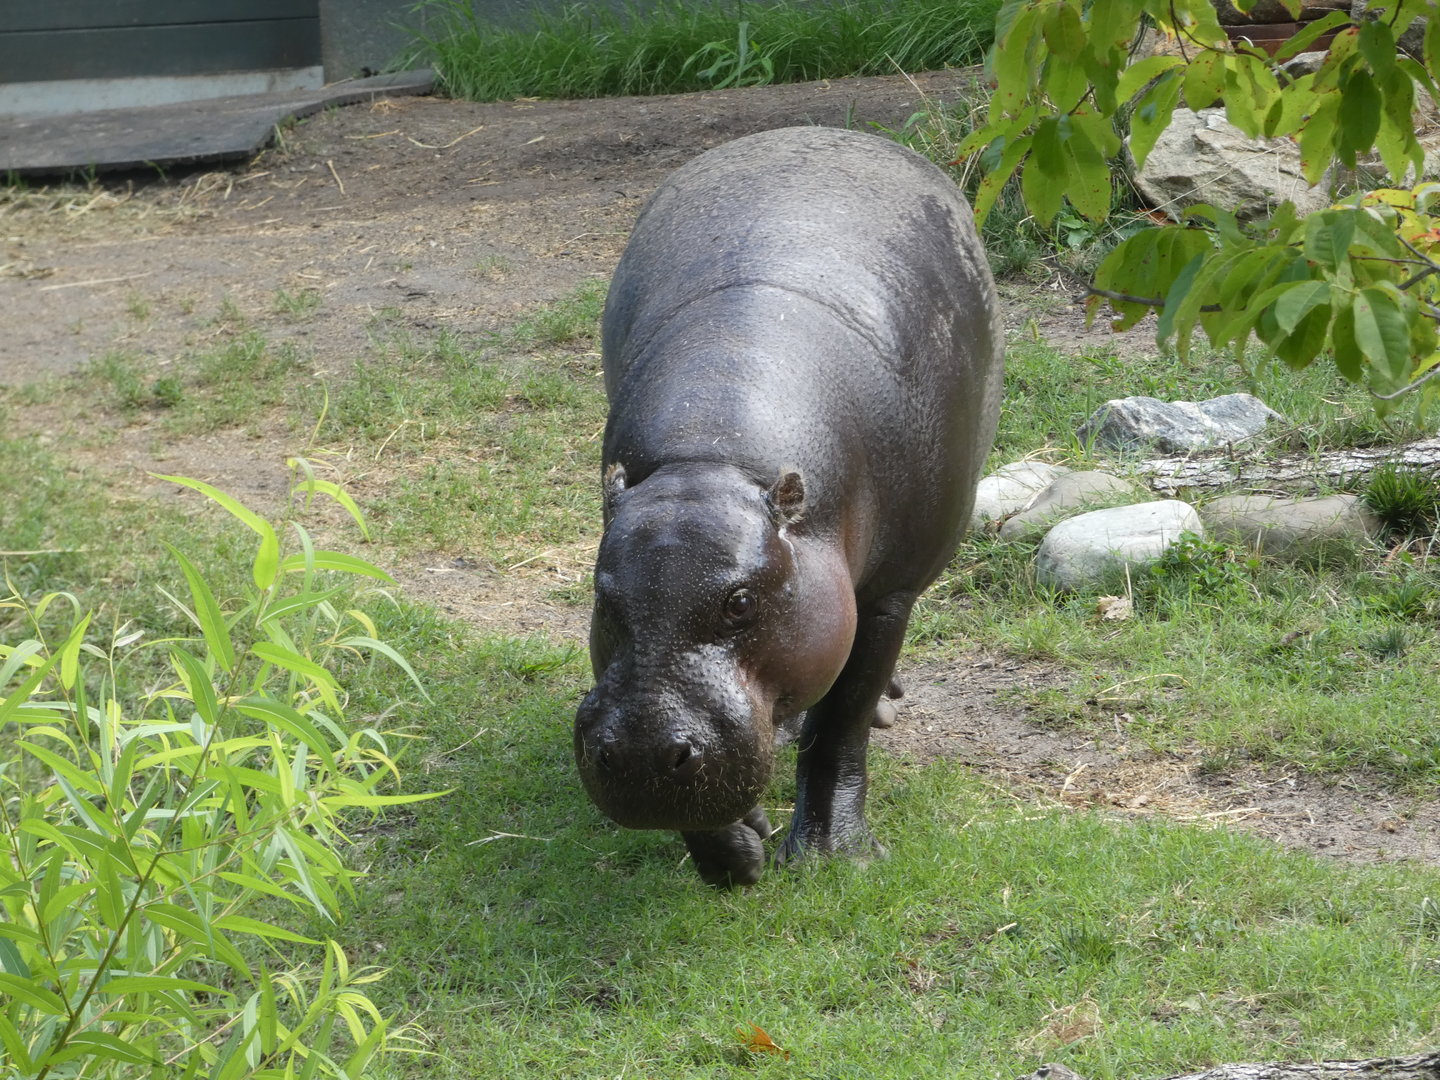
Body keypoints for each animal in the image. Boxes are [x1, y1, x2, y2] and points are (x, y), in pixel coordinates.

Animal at [573, 126, 1003, 886]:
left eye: (742, 602)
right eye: (603, 597)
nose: (643, 757)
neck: (713, 460)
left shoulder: (887, 596)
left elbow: (843, 720)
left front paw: (835, 854)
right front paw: (737, 857)